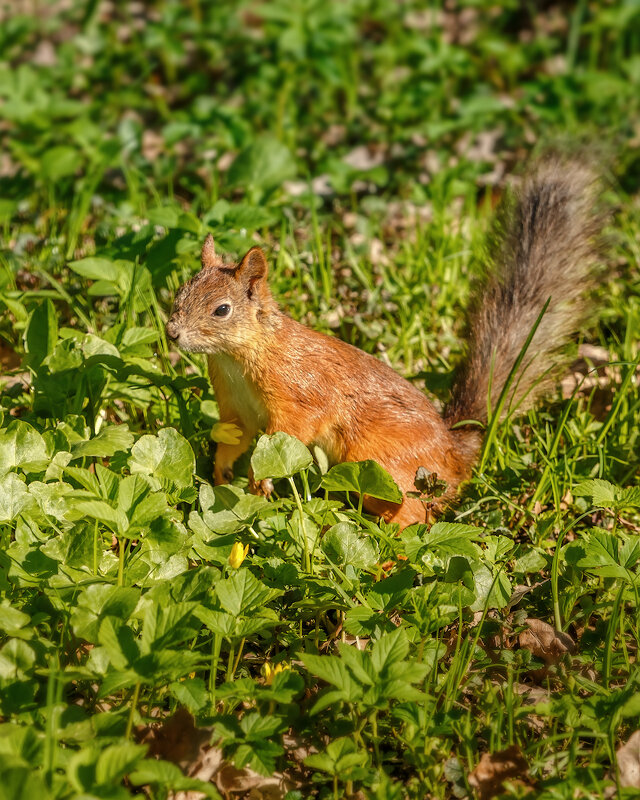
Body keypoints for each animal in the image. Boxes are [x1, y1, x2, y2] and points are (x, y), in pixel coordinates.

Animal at [165, 159, 604, 528]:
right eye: (181, 292)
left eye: (222, 310)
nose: (172, 332)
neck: (237, 359)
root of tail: (454, 454)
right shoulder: (234, 406)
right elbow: (234, 437)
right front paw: (222, 472)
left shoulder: (300, 396)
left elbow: (285, 438)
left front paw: (261, 481)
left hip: (382, 462)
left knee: (414, 515)